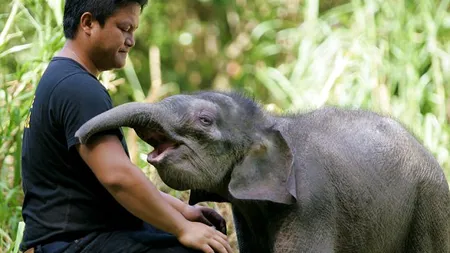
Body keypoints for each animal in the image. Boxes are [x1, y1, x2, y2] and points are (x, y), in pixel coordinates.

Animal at [75, 91, 448, 253]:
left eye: (205, 120)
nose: (78, 138)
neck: (269, 124)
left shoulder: (313, 205)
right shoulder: (247, 212)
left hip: (430, 205)